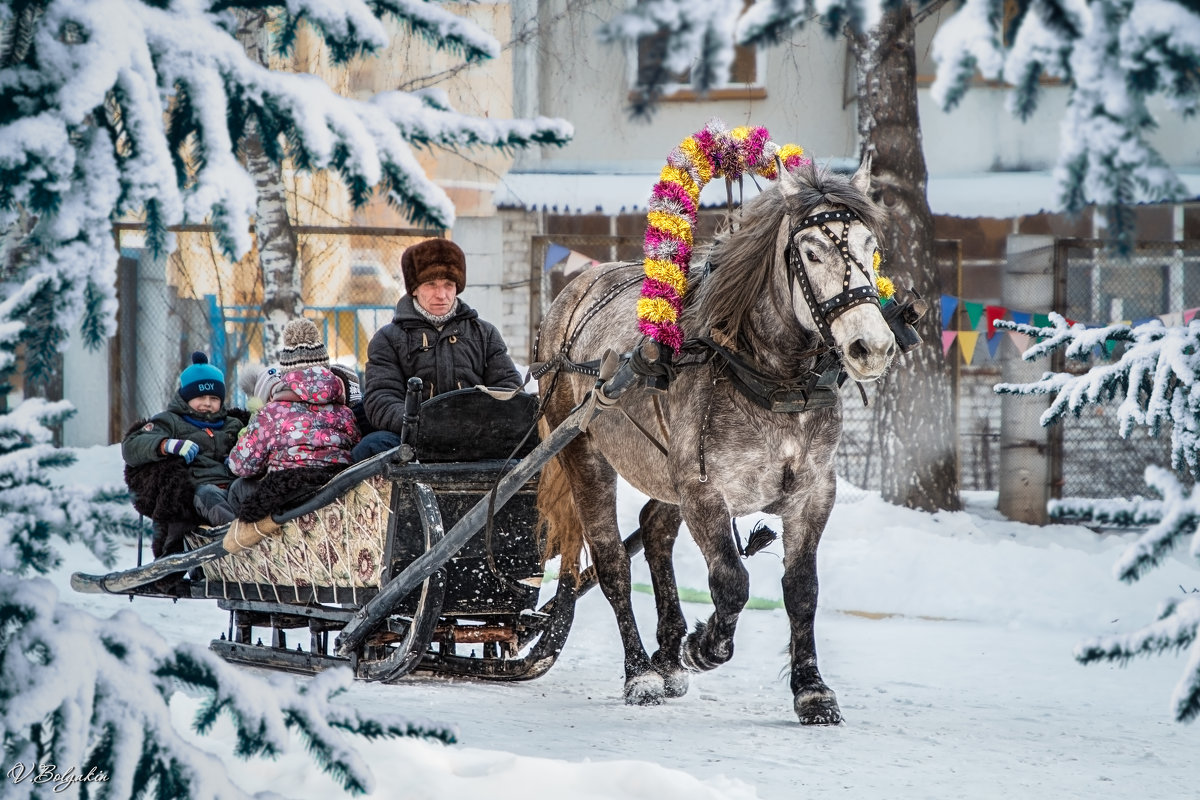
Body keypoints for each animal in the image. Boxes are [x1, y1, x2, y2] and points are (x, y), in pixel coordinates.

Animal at [537, 163, 902, 724]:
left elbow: (802, 590)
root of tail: (573, 292)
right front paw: (703, 646)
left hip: (665, 472)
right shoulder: (704, 491)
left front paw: (812, 690)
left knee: (654, 531)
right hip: (585, 452)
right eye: (812, 251)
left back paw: (665, 658)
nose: (873, 347)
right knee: (613, 563)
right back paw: (642, 672)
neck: (775, 381)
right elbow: (732, 582)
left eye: (871, 246)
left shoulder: (814, 493)